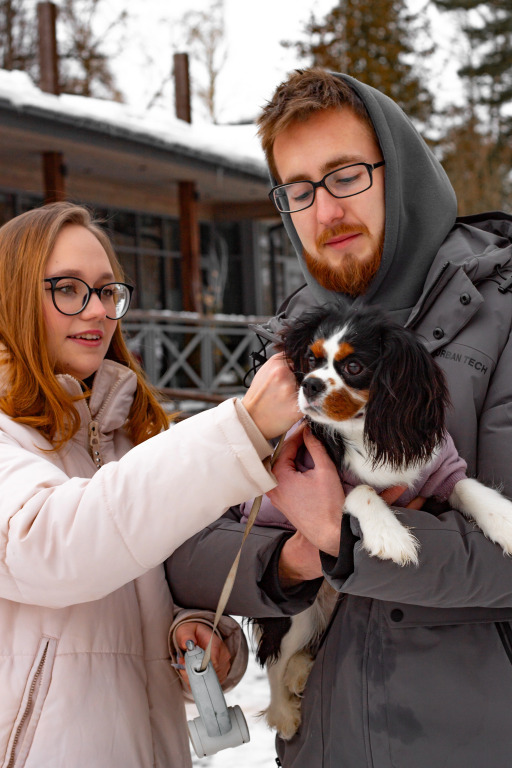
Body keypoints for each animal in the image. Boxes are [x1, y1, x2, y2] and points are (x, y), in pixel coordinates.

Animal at [251, 304, 512, 740]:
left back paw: (300, 675)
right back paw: (285, 713)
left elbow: (468, 486)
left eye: (354, 366)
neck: (365, 428)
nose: (309, 385)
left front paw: (506, 521)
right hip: (298, 613)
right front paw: (392, 536)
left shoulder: (440, 469)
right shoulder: (328, 476)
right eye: (310, 360)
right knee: (275, 657)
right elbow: (361, 490)